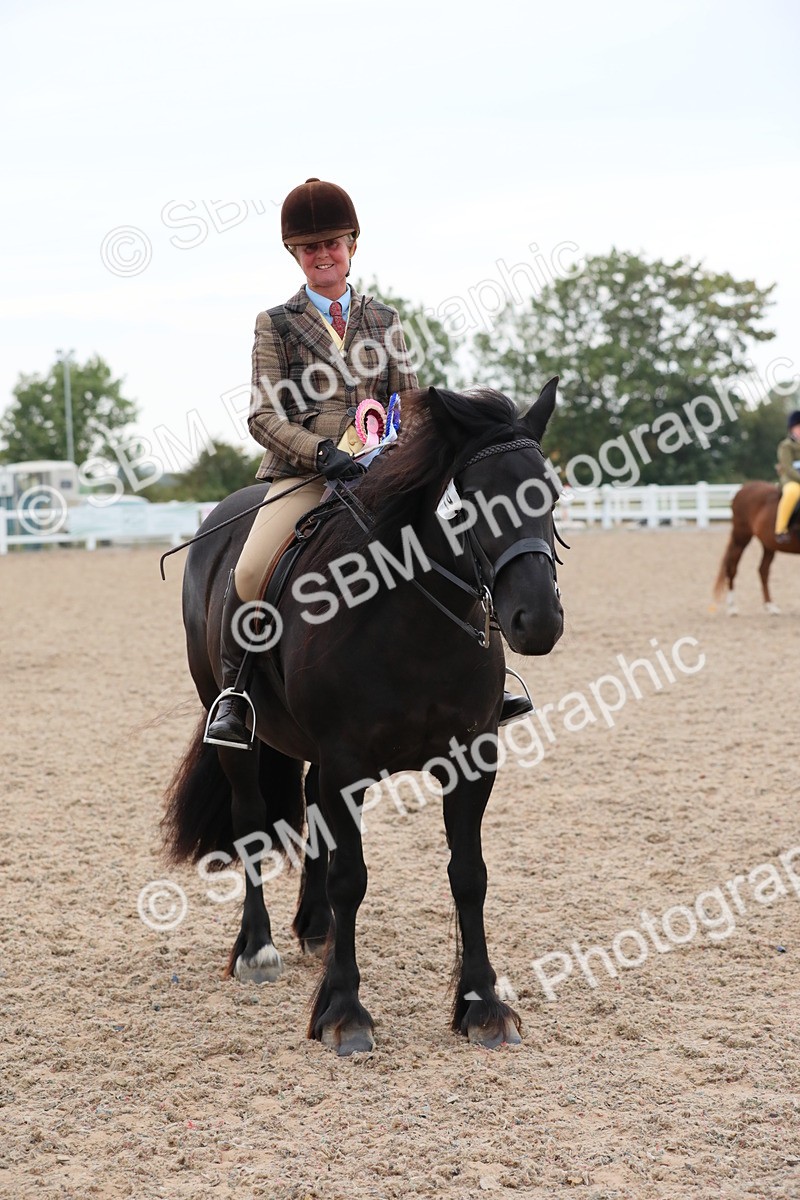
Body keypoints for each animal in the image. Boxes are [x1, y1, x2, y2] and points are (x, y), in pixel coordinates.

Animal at [162, 382, 564, 1055]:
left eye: (551, 494)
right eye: (473, 501)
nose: (538, 621)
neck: (413, 623)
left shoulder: (472, 757)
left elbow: (469, 875)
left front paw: (483, 1007)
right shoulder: (347, 763)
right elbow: (351, 876)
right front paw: (344, 1012)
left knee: (310, 807)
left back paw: (315, 927)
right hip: (236, 734)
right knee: (250, 821)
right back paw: (257, 950)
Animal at [713, 481, 800, 615]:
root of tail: (743, 488)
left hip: (768, 544)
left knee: (763, 570)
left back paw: (770, 606)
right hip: (741, 539)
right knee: (732, 567)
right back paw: (732, 607)